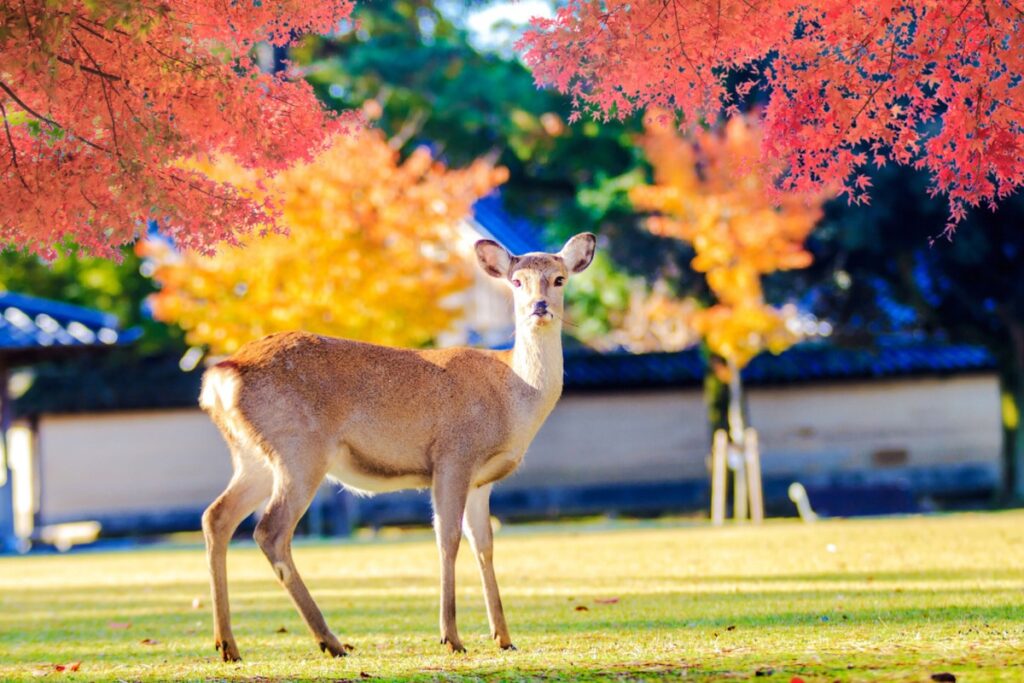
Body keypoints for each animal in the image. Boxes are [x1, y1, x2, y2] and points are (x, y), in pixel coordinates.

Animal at [199, 233, 596, 661]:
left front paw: (503, 637)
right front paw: (451, 637)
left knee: (216, 516)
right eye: (517, 281)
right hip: (299, 449)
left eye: (558, 279)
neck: (513, 397)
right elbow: (448, 539)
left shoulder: (482, 480)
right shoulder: (453, 455)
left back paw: (228, 645)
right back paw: (330, 641)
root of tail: (220, 378)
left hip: (253, 457)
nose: (539, 307)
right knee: (270, 531)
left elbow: (485, 544)